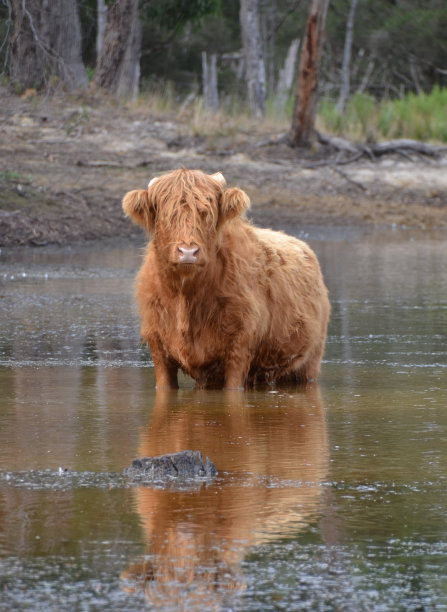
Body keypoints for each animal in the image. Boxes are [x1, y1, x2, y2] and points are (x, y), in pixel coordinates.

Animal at [121, 167, 328, 388]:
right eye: (166, 214)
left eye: (207, 213)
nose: (188, 252)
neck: (186, 297)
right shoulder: (158, 347)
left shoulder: (239, 350)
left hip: (307, 365)